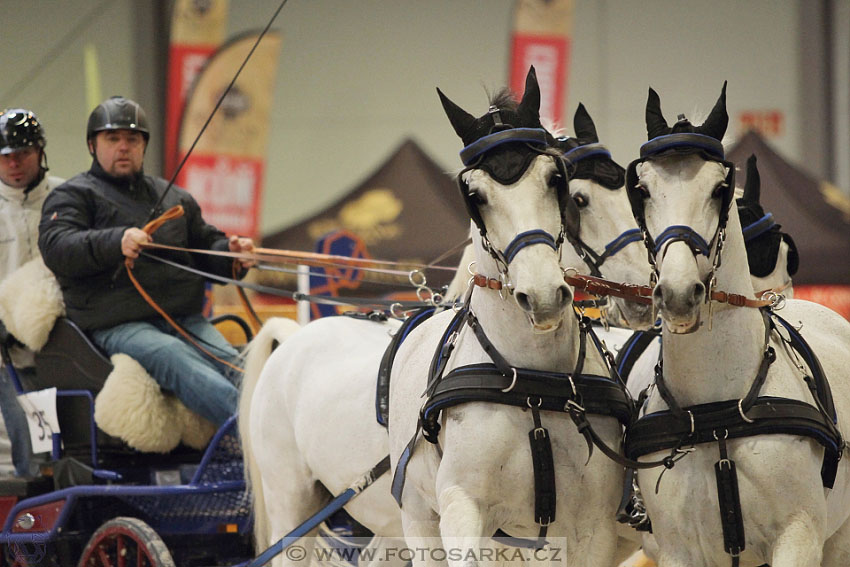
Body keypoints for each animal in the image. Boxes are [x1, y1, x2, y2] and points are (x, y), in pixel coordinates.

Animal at [620, 84, 848, 567]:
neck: (717, 410)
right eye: (642, 189)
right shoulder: (678, 549)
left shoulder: (797, 537)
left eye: (719, 188)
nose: (679, 294)